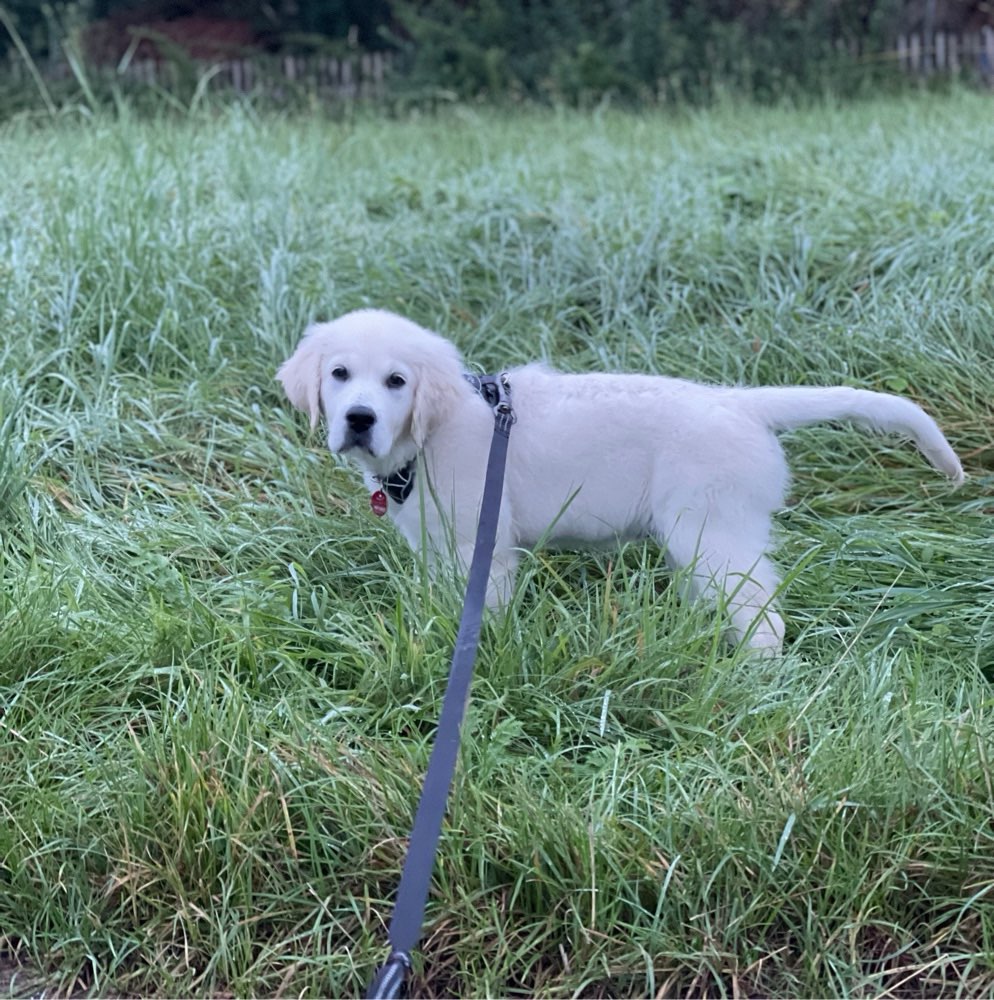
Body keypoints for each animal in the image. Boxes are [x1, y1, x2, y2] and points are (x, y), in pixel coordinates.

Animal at [280, 308, 960, 652]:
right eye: (339, 374)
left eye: (396, 381)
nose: (358, 418)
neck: (430, 435)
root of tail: (740, 402)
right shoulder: (435, 545)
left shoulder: (484, 546)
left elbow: (482, 613)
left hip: (712, 530)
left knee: (763, 615)